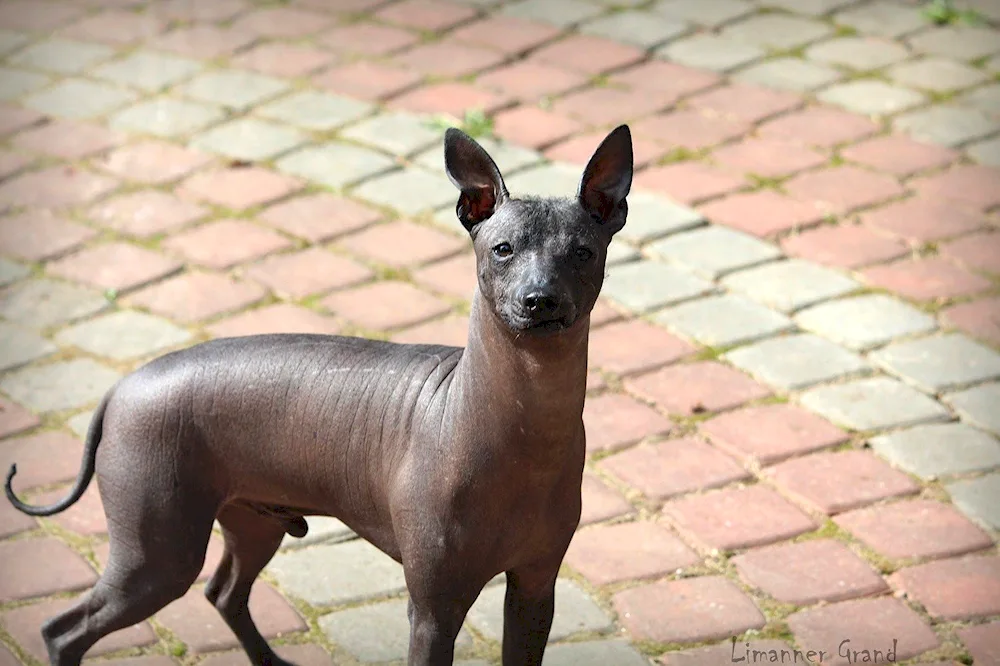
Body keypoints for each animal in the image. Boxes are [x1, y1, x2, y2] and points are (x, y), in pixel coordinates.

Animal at [5, 123, 632, 664]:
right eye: (502, 249)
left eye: (582, 252)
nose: (540, 299)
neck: (522, 429)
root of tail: (120, 387)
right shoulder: (433, 608)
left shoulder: (535, 589)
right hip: (157, 555)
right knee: (65, 630)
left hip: (250, 522)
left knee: (223, 592)